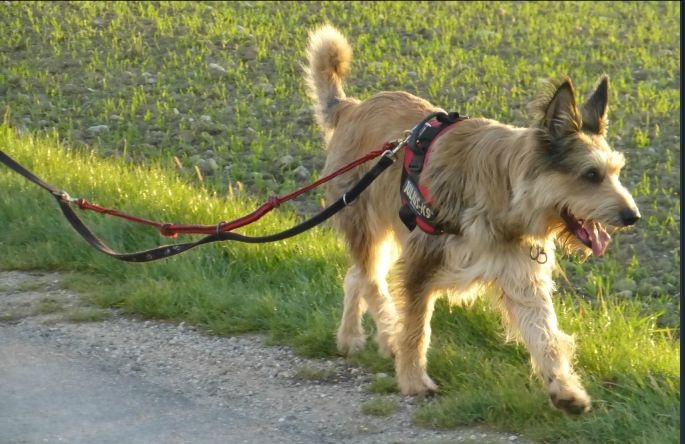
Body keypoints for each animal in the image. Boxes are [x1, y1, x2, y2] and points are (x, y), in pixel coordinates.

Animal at [304, 25, 640, 414]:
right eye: (591, 175)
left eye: (616, 172)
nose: (633, 216)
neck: (506, 192)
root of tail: (352, 107)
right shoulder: (421, 263)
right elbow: (416, 329)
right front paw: (414, 380)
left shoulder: (520, 273)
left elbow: (545, 334)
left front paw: (565, 390)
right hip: (366, 223)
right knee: (371, 280)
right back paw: (383, 337)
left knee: (356, 276)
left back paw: (351, 337)